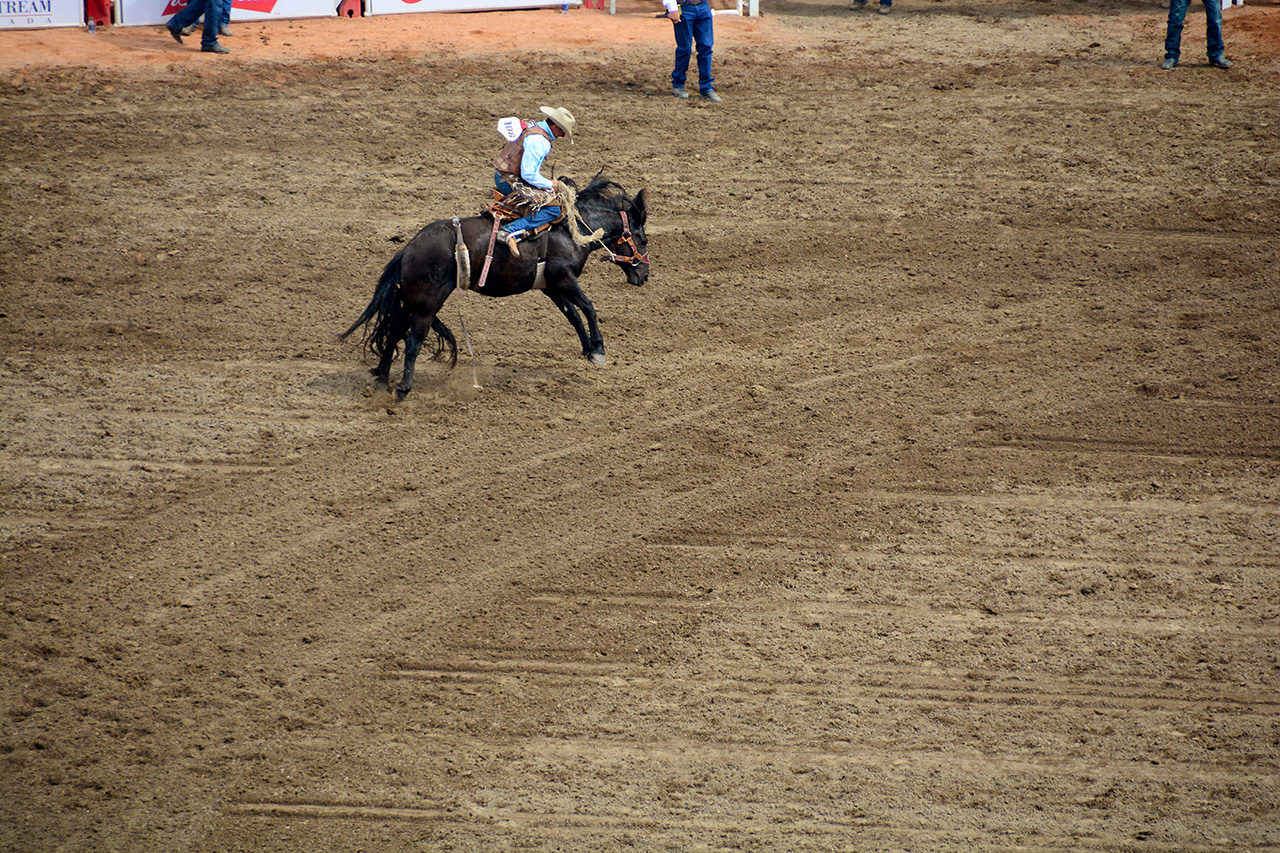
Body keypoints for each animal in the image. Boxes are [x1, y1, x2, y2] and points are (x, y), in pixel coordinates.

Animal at [340, 175, 650, 399]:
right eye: (643, 239)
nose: (644, 275)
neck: (572, 231)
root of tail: (408, 248)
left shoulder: (551, 286)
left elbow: (572, 315)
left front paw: (588, 349)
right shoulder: (563, 279)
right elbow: (588, 308)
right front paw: (598, 349)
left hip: (411, 300)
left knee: (394, 332)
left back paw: (382, 379)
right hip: (427, 304)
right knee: (413, 339)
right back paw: (403, 388)